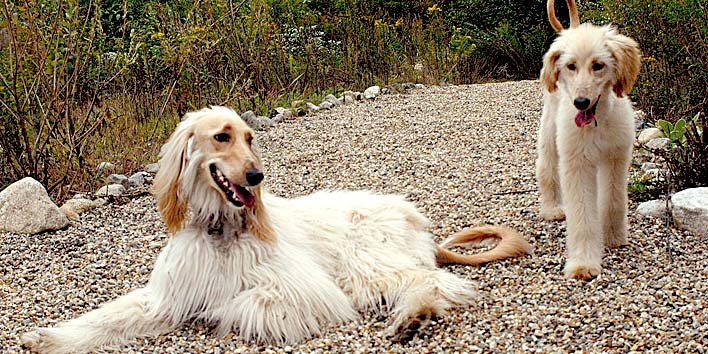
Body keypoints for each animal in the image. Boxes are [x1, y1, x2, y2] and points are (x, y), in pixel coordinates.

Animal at [22, 106, 532, 354]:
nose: (255, 177)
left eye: (251, 138)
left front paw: (216, 312)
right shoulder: (171, 292)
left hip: (364, 261)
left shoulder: (303, 291)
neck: (222, 232)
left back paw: (414, 314)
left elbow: (241, 303)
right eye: (221, 136)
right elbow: (111, 318)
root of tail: (412, 216)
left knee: (430, 281)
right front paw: (48, 338)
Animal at [536, 1, 640, 280]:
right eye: (571, 66)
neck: (598, 123)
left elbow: (614, 200)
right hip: (550, 132)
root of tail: (569, 30)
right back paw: (552, 207)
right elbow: (582, 216)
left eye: (598, 65)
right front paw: (583, 262)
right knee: (546, 169)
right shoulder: (577, 163)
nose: (580, 102)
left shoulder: (615, 157)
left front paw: (613, 236)